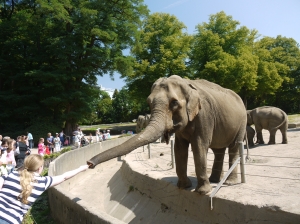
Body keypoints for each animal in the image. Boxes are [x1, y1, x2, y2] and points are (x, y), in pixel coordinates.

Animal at [88, 75, 247, 194]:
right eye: (149, 102)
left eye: (174, 103)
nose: (89, 163)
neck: (188, 84)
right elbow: (179, 148)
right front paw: (183, 186)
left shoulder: (204, 115)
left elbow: (199, 146)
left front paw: (202, 192)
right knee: (219, 150)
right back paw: (215, 180)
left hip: (242, 122)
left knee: (233, 147)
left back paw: (228, 182)